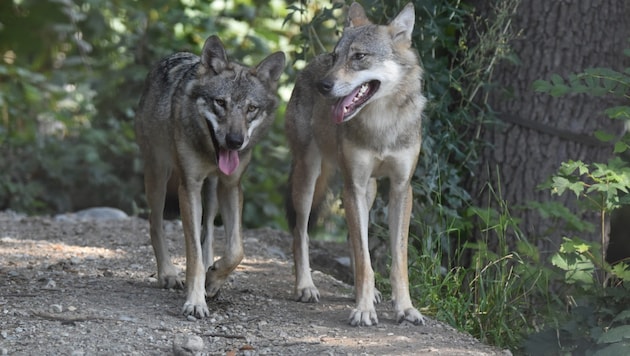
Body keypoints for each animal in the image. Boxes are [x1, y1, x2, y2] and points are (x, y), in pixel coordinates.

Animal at [137, 34, 288, 318]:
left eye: (251, 108)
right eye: (220, 102)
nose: (235, 141)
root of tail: (174, 55)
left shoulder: (231, 186)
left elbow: (236, 250)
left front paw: (214, 278)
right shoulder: (189, 187)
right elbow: (194, 254)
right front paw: (195, 301)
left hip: (213, 191)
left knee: (207, 230)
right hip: (158, 176)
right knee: (155, 223)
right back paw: (168, 274)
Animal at [288, 2, 430, 326]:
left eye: (359, 56)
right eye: (335, 56)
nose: (323, 85)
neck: (382, 123)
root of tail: (309, 66)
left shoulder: (401, 188)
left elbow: (396, 260)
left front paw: (405, 308)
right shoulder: (353, 185)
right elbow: (366, 260)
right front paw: (364, 310)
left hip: (370, 191)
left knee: (355, 241)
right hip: (309, 179)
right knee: (300, 234)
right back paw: (305, 286)